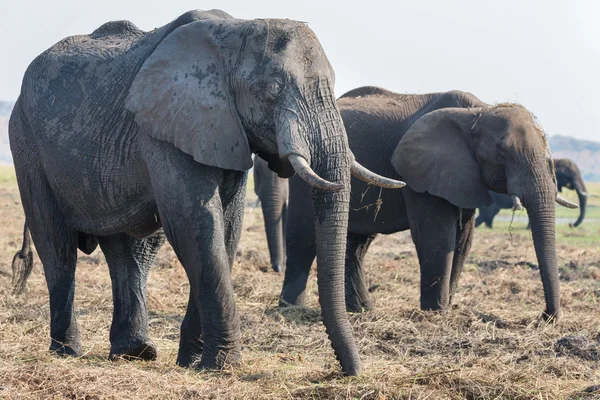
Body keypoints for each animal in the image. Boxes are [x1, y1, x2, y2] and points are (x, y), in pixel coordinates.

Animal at [7, 10, 406, 376]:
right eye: (273, 88)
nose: (346, 372)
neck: (236, 30)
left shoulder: (226, 128)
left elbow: (226, 226)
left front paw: (193, 362)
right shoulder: (168, 124)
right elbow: (196, 221)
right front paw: (222, 367)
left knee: (131, 252)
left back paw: (136, 353)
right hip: (25, 142)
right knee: (57, 245)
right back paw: (67, 352)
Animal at [278, 86, 576, 318]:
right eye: (502, 152)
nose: (545, 316)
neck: (478, 113)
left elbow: (463, 241)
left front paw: (447, 309)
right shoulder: (419, 173)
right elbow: (438, 237)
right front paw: (436, 313)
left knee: (356, 244)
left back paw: (362, 310)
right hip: (309, 170)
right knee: (302, 234)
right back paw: (291, 308)